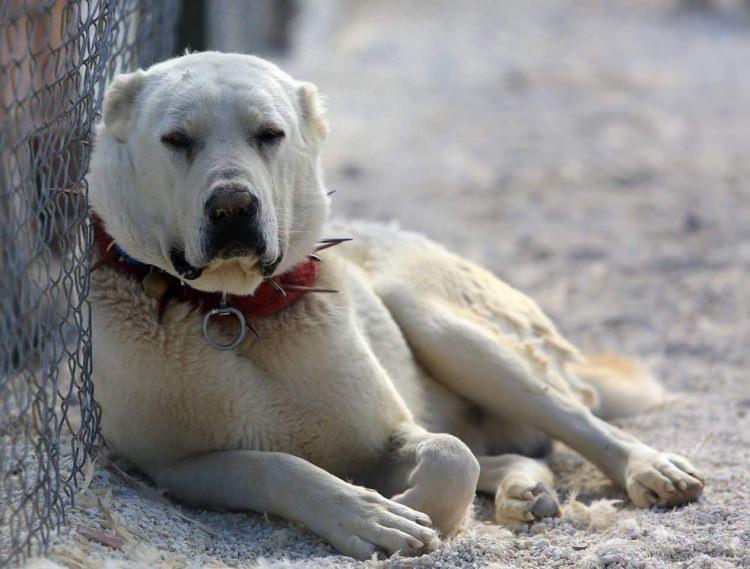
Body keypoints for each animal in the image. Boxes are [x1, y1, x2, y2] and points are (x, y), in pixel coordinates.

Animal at [88, 53, 704, 560]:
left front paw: (409, 508)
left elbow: (452, 457)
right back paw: (523, 489)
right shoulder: (178, 469)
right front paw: (369, 513)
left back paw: (650, 468)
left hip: (448, 331)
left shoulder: (392, 434)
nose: (234, 206)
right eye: (176, 139)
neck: (233, 308)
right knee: (513, 451)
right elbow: (279, 465)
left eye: (269, 135)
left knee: (571, 417)